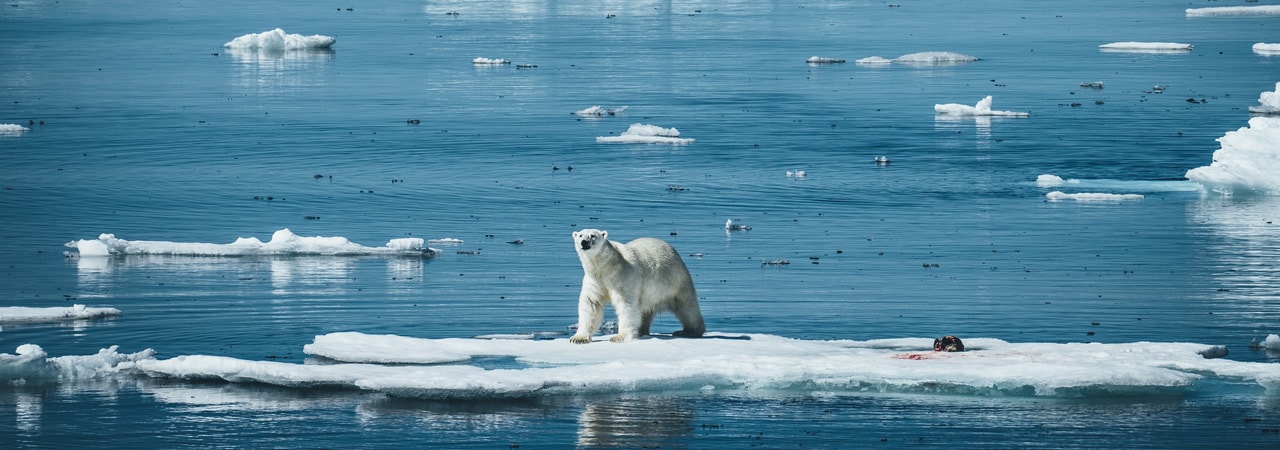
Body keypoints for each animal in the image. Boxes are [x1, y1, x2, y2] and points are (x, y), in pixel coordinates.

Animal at [573, 230, 706, 342]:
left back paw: (689, 331)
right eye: (580, 235)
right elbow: (591, 303)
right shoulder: (594, 280)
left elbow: (626, 304)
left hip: (676, 281)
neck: (605, 267)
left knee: (687, 307)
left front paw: (619, 337)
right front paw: (578, 338)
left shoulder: (622, 275)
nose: (584, 242)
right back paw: (641, 330)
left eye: (592, 235)